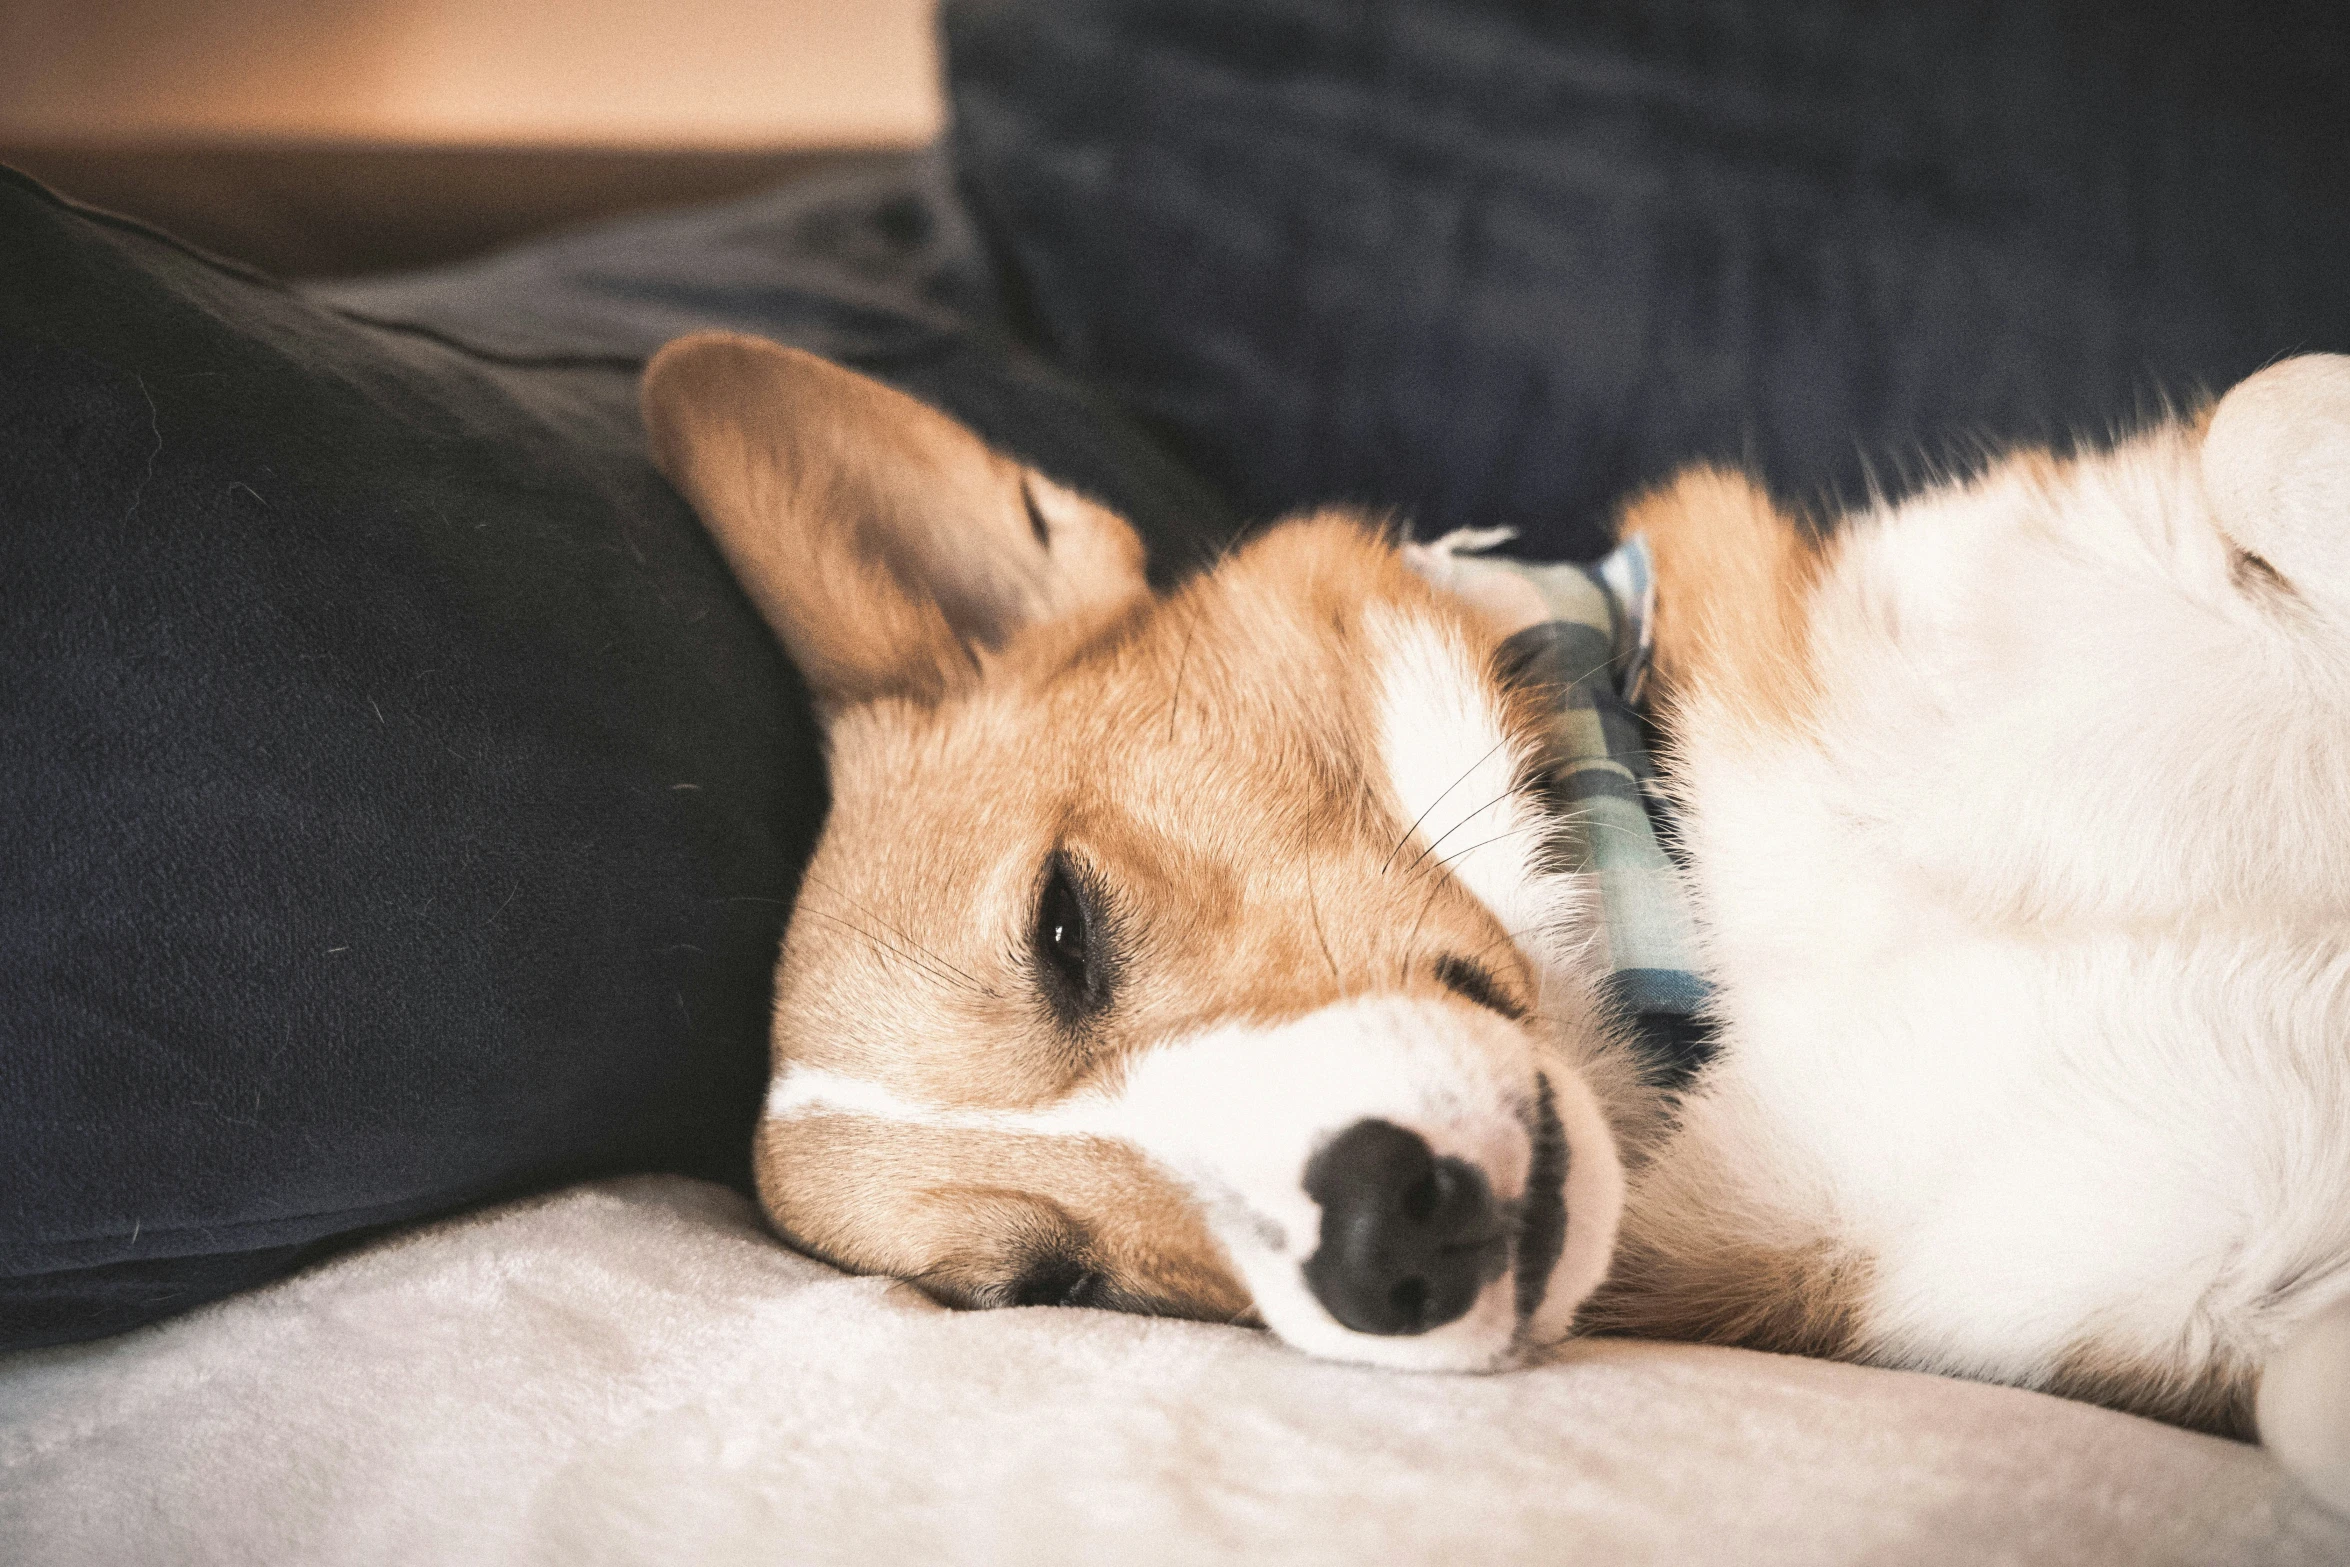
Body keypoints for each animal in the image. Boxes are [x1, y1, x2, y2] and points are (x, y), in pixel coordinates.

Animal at [643, 340, 2350, 1503]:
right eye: (1057, 1285)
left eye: (1063, 926)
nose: (1380, 1242)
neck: (1715, 958)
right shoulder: (2194, 1283)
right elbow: (2298, 1395)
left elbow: (2273, 414)